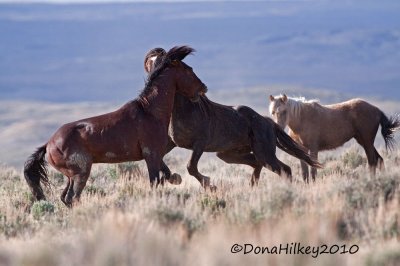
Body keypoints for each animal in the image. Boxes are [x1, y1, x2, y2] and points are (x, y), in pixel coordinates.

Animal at [23, 46, 208, 208]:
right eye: (188, 69)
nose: (203, 88)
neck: (150, 112)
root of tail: (49, 145)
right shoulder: (151, 154)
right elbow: (155, 181)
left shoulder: (156, 155)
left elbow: (167, 174)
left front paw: (176, 178)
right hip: (81, 173)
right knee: (72, 198)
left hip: (71, 176)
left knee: (65, 198)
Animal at [144, 47, 322, 187]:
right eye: (150, 64)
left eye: (162, 62)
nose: (152, 81)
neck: (185, 110)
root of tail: (268, 122)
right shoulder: (172, 143)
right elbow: (159, 159)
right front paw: (173, 178)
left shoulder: (199, 144)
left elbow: (190, 167)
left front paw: (209, 184)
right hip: (229, 155)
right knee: (257, 163)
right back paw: (252, 186)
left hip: (264, 153)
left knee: (284, 169)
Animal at [268, 94, 400, 183]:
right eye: (273, 112)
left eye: (284, 111)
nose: (277, 128)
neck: (302, 119)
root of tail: (376, 109)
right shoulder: (301, 150)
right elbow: (304, 172)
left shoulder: (313, 149)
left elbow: (313, 170)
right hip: (363, 141)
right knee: (379, 160)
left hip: (367, 142)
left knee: (372, 162)